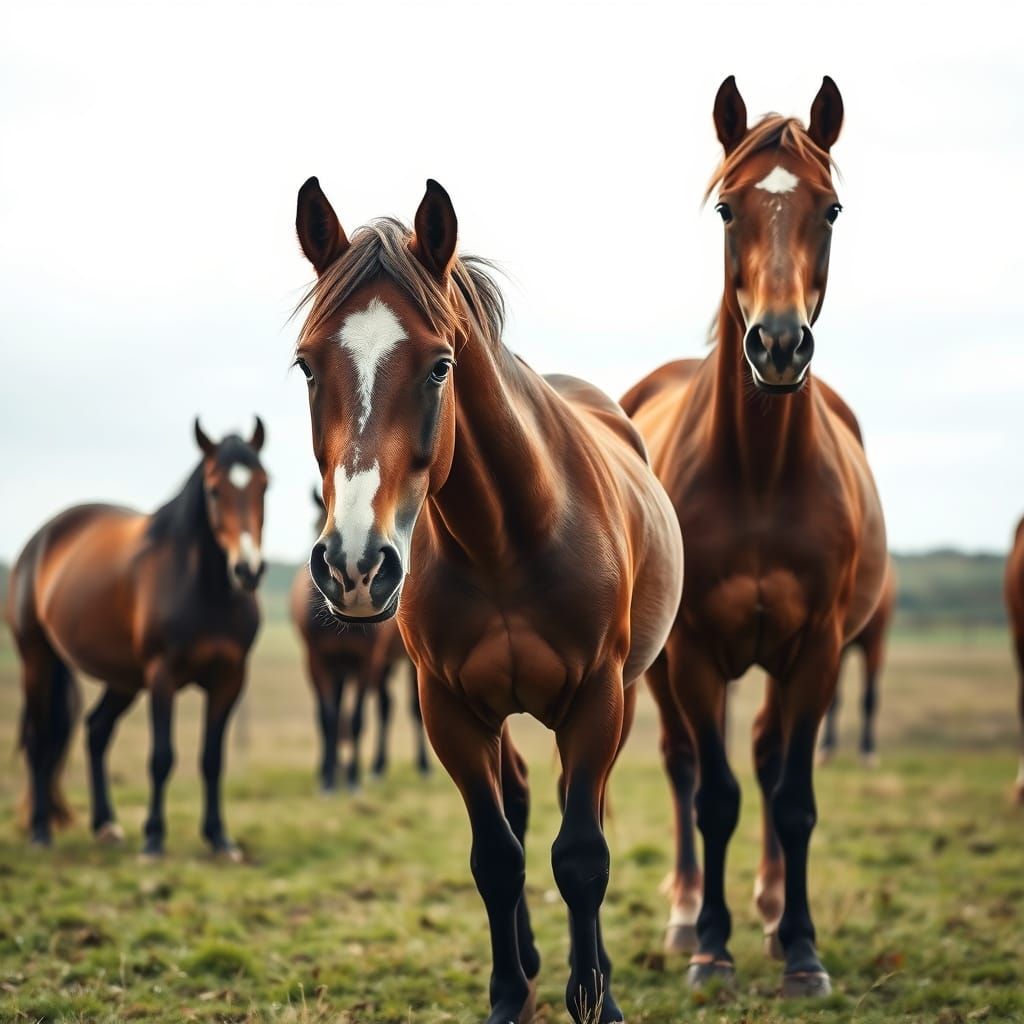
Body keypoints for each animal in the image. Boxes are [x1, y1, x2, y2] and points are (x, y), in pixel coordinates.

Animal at [6, 419, 268, 859]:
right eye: (215, 489)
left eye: (264, 484)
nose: (248, 569)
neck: (204, 589)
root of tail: (39, 541)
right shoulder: (162, 675)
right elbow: (162, 756)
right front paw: (154, 838)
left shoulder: (230, 679)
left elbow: (212, 759)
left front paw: (219, 838)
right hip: (37, 659)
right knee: (39, 740)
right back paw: (41, 830)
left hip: (123, 679)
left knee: (96, 731)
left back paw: (105, 826)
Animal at [290, 489, 429, 791]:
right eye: (315, 526)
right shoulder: (318, 660)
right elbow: (328, 717)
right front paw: (328, 778)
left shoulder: (367, 661)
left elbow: (356, 719)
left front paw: (353, 777)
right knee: (383, 706)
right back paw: (374, 767)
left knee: (410, 707)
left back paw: (422, 766)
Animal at [620, 77, 887, 998]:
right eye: (728, 208)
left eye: (831, 208)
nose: (776, 344)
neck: (762, 476)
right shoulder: (695, 652)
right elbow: (714, 796)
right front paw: (710, 947)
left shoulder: (817, 649)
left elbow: (793, 796)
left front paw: (801, 949)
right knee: (684, 765)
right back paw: (683, 913)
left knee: (770, 761)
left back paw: (772, 911)